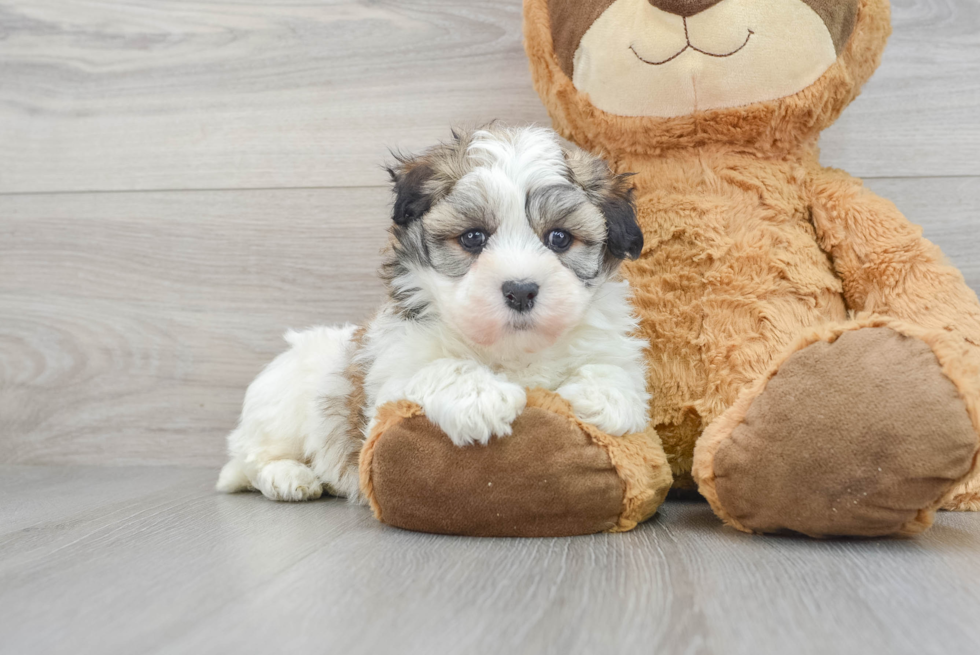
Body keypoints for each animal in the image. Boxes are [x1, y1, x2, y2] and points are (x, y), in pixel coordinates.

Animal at [218, 127, 656, 502]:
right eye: (474, 237)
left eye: (560, 238)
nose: (520, 290)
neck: (510, 348)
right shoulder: (391, 380)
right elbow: (439, 367)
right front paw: (481, 397)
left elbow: (613, 367)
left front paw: (605, 396)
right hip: (281, 406)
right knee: (255, 457)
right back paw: (289, 476)